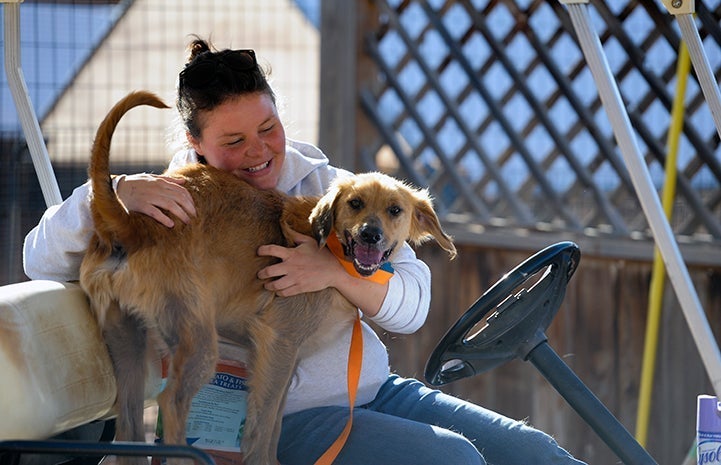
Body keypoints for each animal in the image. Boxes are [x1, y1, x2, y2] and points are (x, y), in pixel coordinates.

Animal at [80, 91, 456, 464]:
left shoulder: (284, 358)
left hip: (128, 346)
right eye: (355, 203)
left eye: (395, 210)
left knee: (129, 426)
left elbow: (273, 423)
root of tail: (131, 223)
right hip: (197, 341)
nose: (370, 236)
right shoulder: (278, 343)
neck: (330, 246)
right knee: (171, 402)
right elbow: (261, 427)